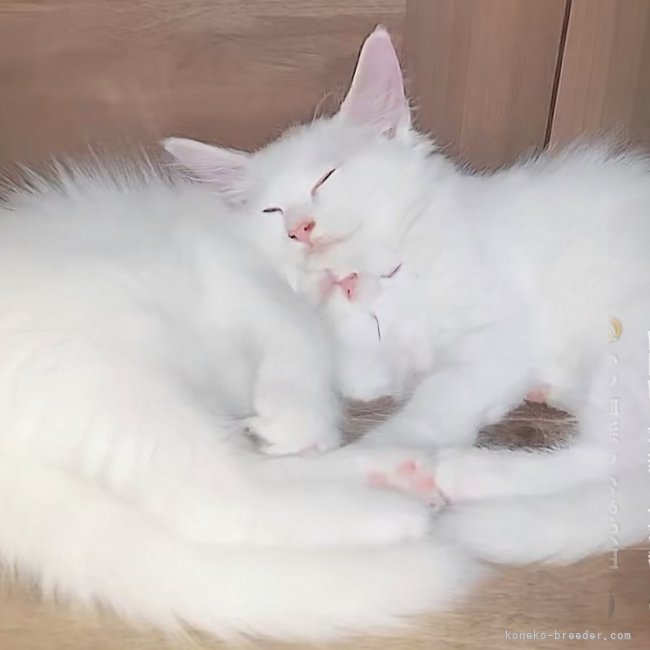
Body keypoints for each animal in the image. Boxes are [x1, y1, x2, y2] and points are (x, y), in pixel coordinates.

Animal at [0, 159, 485, 640]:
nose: (342, 276)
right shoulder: (235, 274)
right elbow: (298, 332)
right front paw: (299, 417)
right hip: (125, 378)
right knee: (217, 499)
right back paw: (389, 514)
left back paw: (393, 473)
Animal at [165, 27, 650, 566]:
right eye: (272, 211)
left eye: (325, 178)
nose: (300, 228)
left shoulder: (493, 340)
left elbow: (432, 407)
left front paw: (375, 459)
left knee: (621, 451)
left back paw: (464, 472)